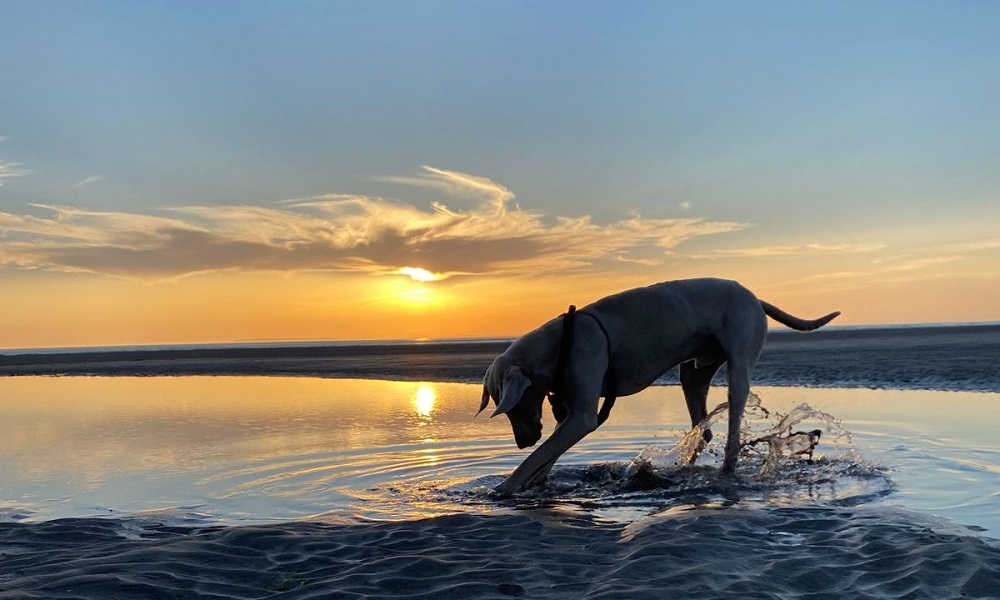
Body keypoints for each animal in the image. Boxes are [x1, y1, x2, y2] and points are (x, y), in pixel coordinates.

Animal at [480, 278, 840, 494]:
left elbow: (539, 455)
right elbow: (547, 454)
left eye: (511, 405)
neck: (563, 341)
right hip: (693, 373)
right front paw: (535, 482)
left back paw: (726, 473)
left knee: (732, 432)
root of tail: (755, 298)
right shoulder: (569, 413)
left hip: (739, 363)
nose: (522, 441)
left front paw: (502, 490)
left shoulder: (581, 416)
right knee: (703, 429)